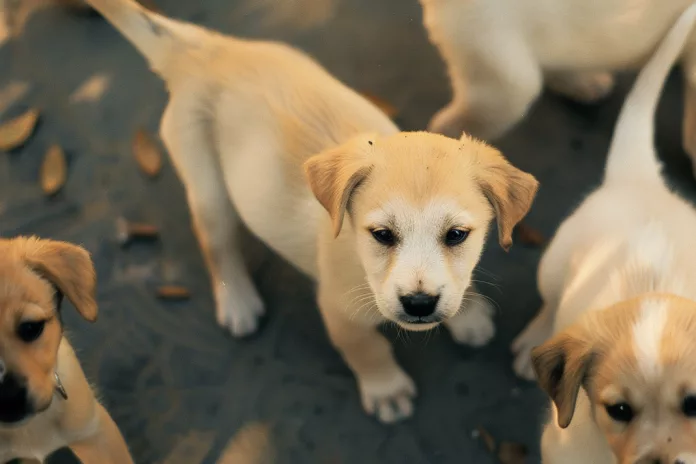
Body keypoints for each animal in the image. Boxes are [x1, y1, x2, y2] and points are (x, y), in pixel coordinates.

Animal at [83, 0, 540, 422]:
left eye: (457, 235)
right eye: (382, 235)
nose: (419, 303)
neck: (356, 253)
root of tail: (204, 51)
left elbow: (462, 286)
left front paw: (469, 316)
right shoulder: (338, 310)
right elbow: (366, 348)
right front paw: (386, 390)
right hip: (208, 187)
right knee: (216, 242)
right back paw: (238, 302)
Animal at [512, 4, 696, 464]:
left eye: (693, 404)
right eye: (619, 410)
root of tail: (639, 179)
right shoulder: (562, 448)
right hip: (552, 264)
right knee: (550, 301)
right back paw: (533, 341)